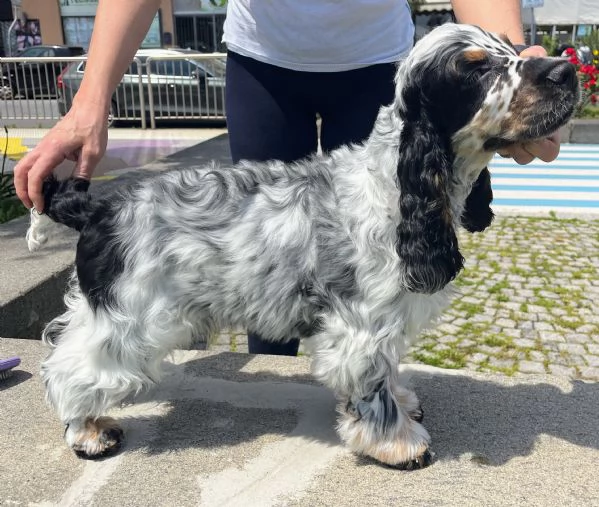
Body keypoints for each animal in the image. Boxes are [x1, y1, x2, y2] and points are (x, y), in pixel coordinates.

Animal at [27, 22, 576, 468]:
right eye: (476, 69)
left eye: (511, 49)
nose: (566, 70)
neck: (392, 185)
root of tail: (100, 207)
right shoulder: (361, 326)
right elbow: (373, 387)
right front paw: (398, 443)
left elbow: (390, 373)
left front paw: (404, 402)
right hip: (128, 318)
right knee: (70, 369)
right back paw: (88, 432)